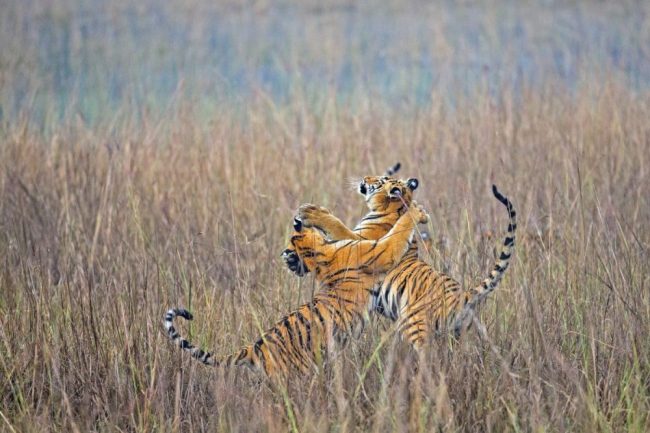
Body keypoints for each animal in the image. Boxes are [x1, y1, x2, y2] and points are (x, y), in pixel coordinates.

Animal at [165, 200, 429, 377]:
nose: (297, 223)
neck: (320, 254)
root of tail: (253, 348)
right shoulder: (379, 251)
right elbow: (397, 233)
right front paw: (416, 211)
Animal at [283, 176, 516, 347]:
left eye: (380, 179)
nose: (365, 178)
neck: (393, 209)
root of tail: (464, 295)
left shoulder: (360, 241)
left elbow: (336, 226)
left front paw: (311, 212)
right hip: (458, 335)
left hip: (416, 327)